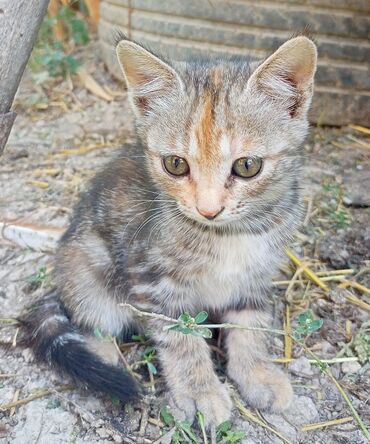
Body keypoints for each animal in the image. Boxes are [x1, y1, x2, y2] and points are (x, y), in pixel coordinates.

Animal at [19, 35, 316, 426]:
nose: (208, 209)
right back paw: (103, 356)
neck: (228, 234)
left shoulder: (255, 276)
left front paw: (257, 372)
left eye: (247, 166)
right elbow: (181, 336)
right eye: (175, 164)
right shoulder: (151, 278)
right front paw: (200, 392)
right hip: (85, 262)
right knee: (90, 317)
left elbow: (251, 324)